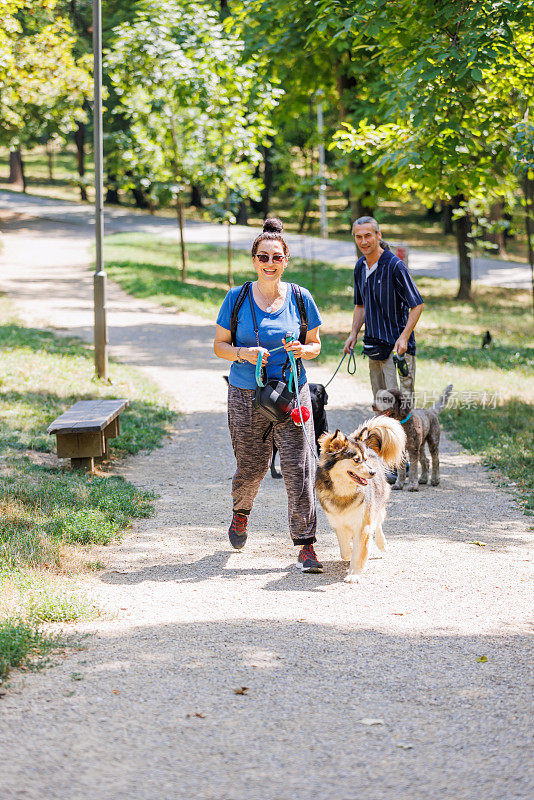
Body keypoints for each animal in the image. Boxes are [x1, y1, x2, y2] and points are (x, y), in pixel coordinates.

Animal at [318, 418, 406, 580]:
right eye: (356, 460)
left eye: (365, 460)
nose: (373, 472)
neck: (344, 492)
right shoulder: (338, 523)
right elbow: (345, 551)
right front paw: (350, 553)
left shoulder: (363, 523)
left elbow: (358, 552)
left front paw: (354, 575)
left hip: (378, 504)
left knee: (378, 523)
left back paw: (382, 543)